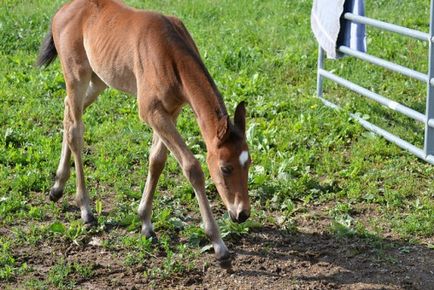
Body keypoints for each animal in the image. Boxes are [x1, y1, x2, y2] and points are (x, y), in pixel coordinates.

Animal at [39, 0, 253, 268]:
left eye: (249, 163)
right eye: (225, 168)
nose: (242, 213)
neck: (169, 51)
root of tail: (62, 10)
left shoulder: (171, 111)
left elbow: (157, 161)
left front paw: (145, 223)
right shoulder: (150, 111)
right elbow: (191, 167)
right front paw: (218, 244)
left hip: (99, 80)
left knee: (68, 113)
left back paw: (57, 186)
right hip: (76, 75)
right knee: (76, 130)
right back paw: (85, 208)